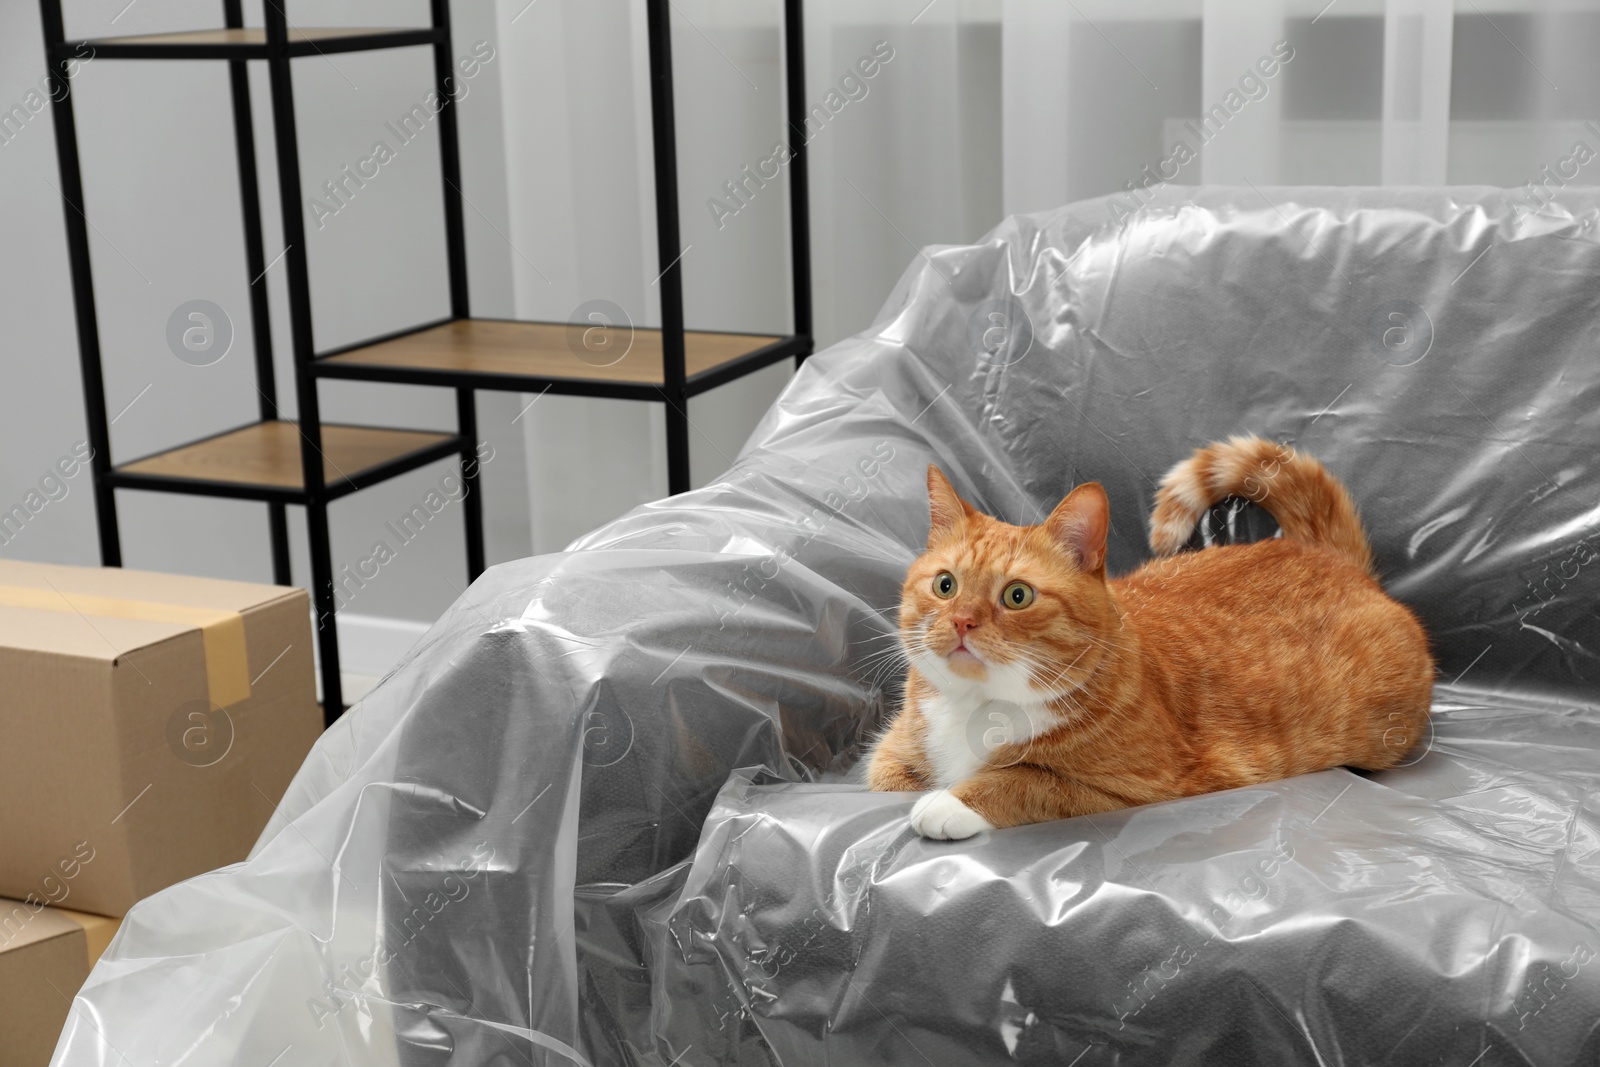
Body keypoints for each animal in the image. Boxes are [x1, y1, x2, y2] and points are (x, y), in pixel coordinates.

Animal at [870, 438, 1433, 838]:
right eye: (946, 585)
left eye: (1017, 595)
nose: (962, 621)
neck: (978, 704)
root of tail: (1329, 555)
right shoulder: (887, 760)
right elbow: (890, 778)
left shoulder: (1138, 787)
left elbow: (1028, 780)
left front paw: (952, 801)